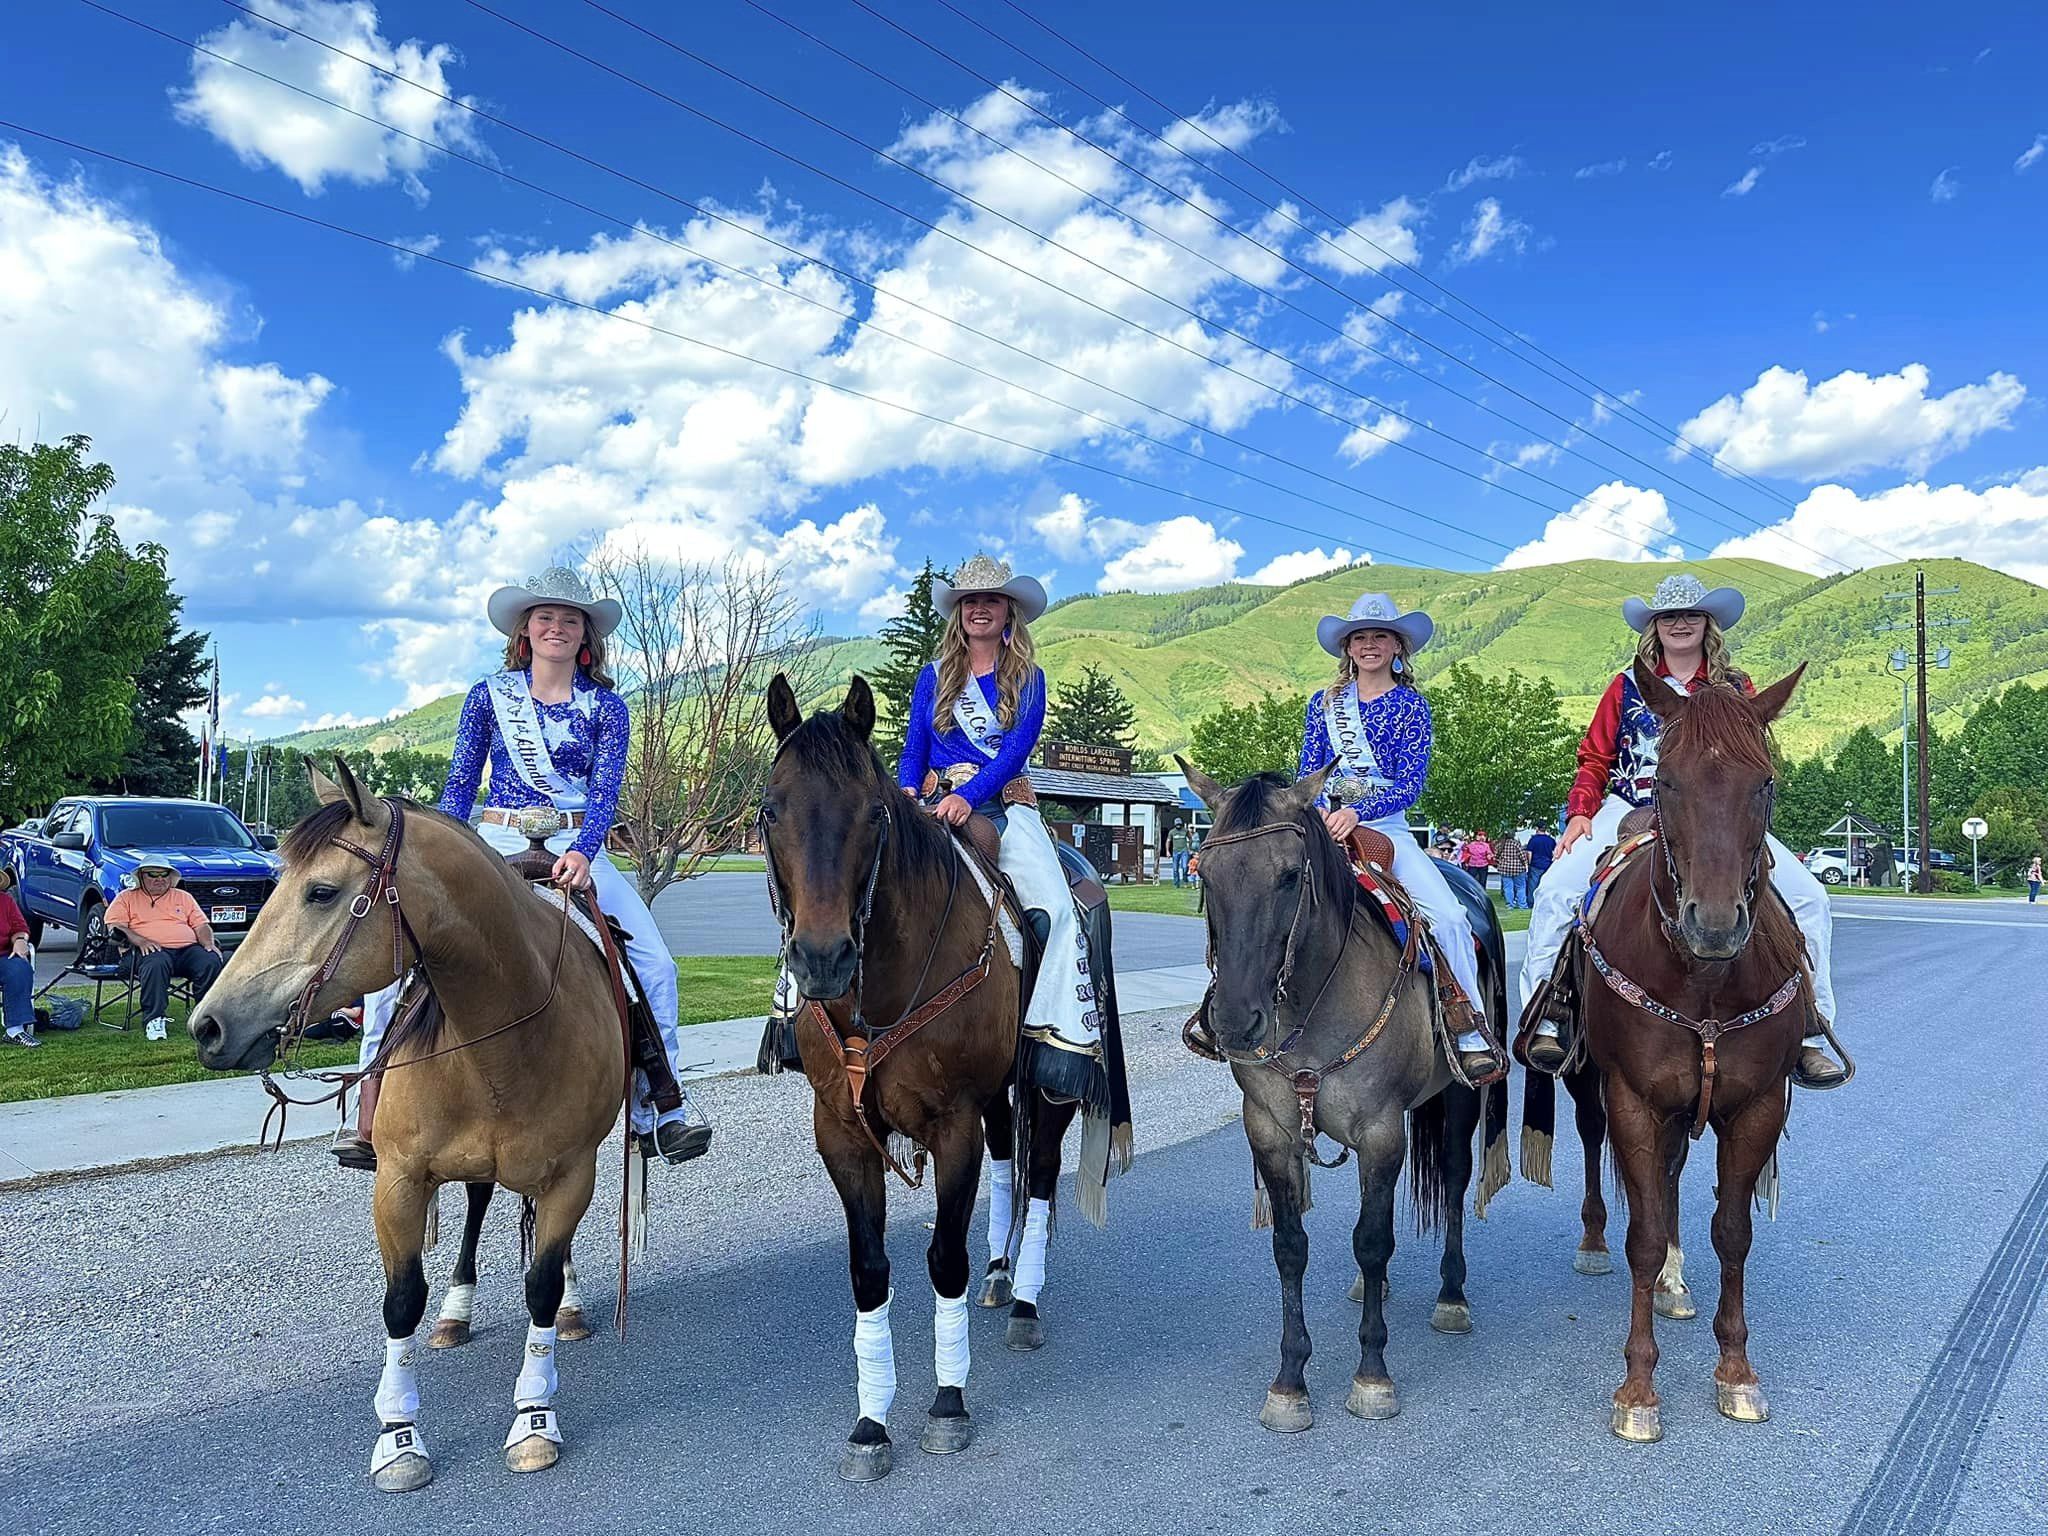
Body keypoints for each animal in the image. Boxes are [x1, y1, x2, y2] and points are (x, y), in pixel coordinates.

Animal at [188, 765, 626, 1499]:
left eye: (322, 891)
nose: (208, 1025)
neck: (503, 1039)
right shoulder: (398, 1179)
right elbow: (401, 1301)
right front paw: (399, 1436)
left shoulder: (573, 1172)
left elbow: (539, 1284)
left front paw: (534, 1417)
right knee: (477, 1205)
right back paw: (457, 1312)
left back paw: (567, 1306)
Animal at [765, 679, 1089, 1482]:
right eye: (770, 810)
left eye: (873, 813)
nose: (822, 959)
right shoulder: (842, 1131)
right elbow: (868, 1270)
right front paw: (871, 1422)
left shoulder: (951, 1124)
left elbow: (944, 1258)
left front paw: (948, 1402)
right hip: (995, 1097)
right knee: (1009, 1159)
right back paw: (1001, 1273)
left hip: (1047, 1082)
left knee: (1040, 1171)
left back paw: (1025, 1299)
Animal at [1187, 765, 1507, 1441]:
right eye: (1205, 873)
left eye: (1289, 875)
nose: (1234, 1021)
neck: (1314, 996)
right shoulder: (1271, 1132)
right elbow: (1291, 1248)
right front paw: (1289, 1382)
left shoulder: (1382, 1132)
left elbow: (1373, 1239)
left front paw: (1372, 1376)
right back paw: (1371, 1290)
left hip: (1459, 1100)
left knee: (1456, 1180)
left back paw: (1452, 1296)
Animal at [1548, 659, 1810, 1441]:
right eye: (1666, 781)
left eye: (1765, 783)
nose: (1714, 923)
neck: (1704, 978)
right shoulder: (1632, 1098)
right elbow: (1641, 1230)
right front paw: (1638, 1388)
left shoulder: (1754, 1105)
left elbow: (1733, 1231)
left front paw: (1737, 1373)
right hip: (1591, 1085)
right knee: (1600, 1152)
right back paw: (1597, 1245)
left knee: (1669, 1178)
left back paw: (1673, 1279)